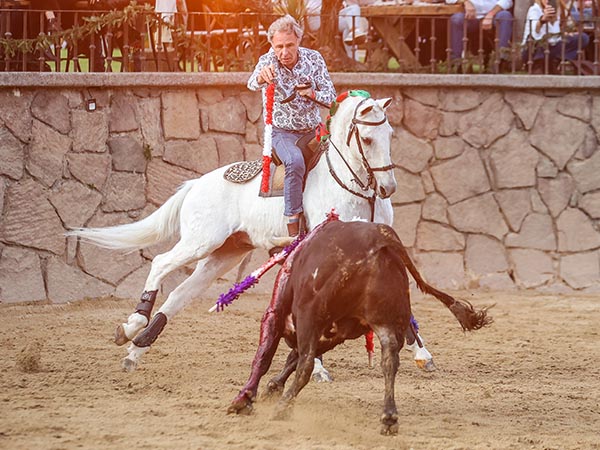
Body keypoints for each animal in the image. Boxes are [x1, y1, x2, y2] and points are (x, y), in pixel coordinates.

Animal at [69, 94, 436, 372]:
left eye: (391, 135)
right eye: (369, 138)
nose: (388, 187)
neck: (350, 185)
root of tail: (195, 184)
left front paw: (422, 353)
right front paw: (314, 365)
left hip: (223, 255)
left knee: (179, 295)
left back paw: (135, 349)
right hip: (200, 242)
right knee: (160, 263)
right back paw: (132, 325)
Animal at [227, 220, 490, 434]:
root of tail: (381, 238)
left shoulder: (278, 313)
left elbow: (266, 356)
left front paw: (244, 399)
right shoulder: (336, 333)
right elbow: (292, 356)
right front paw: (272, 388)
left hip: (311, 315)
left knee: (306, 365)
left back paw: (283, 407)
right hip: (386, 322)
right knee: (389, 360)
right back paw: (389, 418)